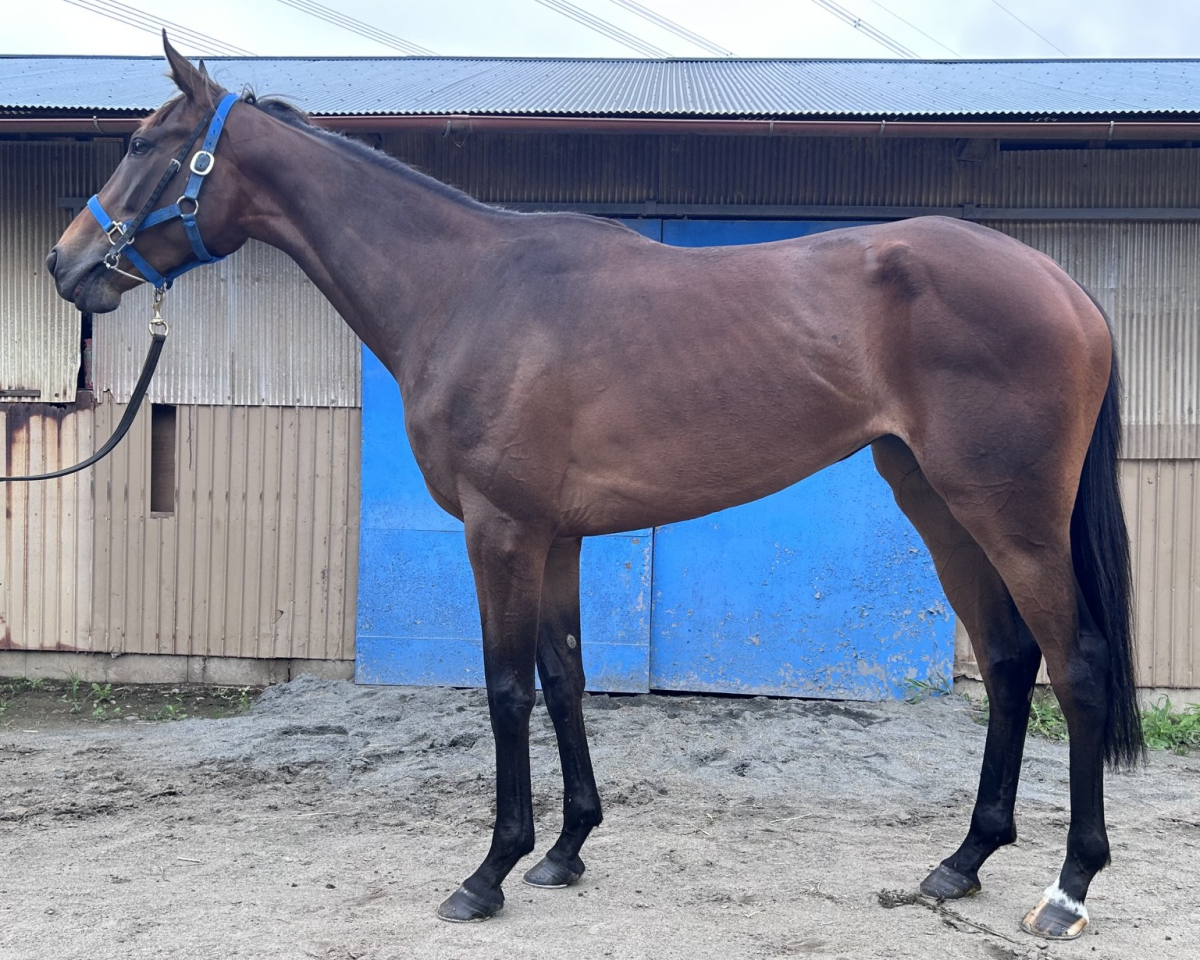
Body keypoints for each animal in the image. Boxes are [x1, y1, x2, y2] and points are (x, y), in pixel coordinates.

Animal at [46, 37, 1142, 940]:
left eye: (144, 142)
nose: (65, 264)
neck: (465, 291)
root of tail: (1068, 287)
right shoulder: (558, 537)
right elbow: (566, 678)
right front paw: (567, 851)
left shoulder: (500, 532)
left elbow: (504, 689)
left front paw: (486, 873)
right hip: (940, 505)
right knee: (1009, 661)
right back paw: (962, 861)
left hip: (1013, 517)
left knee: (1076, 664)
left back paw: (1068, 890)